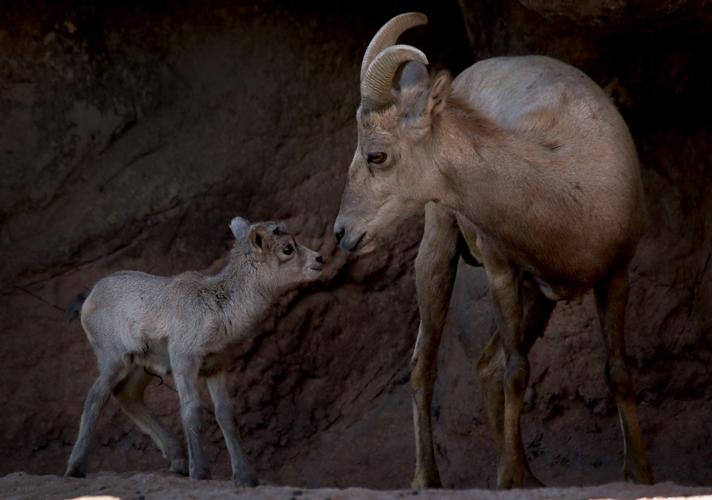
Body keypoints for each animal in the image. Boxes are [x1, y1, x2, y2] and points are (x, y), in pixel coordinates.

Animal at [65, 216, 324, 485]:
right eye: (288, 248)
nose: (319, 259)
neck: (219, 310)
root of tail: (91, 297)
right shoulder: (184, 360)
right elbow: (191, 409)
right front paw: (200, 472)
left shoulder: (216, 367)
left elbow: (225, 415)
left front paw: (245, 477)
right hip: (114, 359)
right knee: (96, 396)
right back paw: (75, 468)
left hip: (141, 366)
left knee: (127, 394)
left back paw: (178, 460)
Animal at [333, 12, 653, 489]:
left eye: (377, 155)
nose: (342, 233)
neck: (567, 186)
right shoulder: (502, 273)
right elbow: (517, 371)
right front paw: (507, 477)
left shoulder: (616, 275)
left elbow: (617, 370)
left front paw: (639, 474)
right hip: (441, 249)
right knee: (426, 363)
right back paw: (428, 479)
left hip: (539, 298)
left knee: (486, 364)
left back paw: (532, 478)